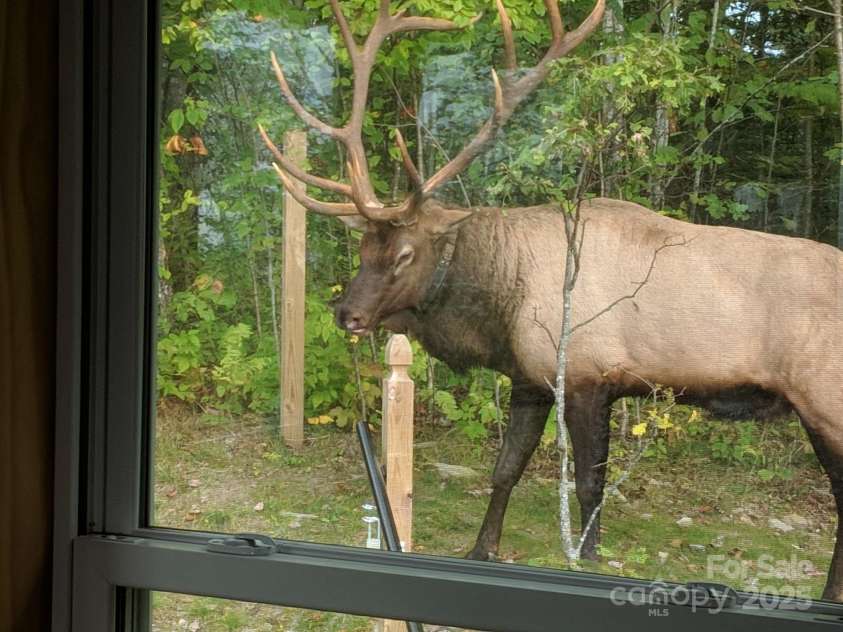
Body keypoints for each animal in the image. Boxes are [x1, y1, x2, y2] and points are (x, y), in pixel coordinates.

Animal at [260, 0, 843, 602]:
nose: (347, 313)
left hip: (824, 398)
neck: (502, 303)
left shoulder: (589, 377)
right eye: (363, 248)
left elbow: (588, 484)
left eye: (404, 253)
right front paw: (481, 550)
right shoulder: (530, 381)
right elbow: (505, 470)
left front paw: (586, 558)